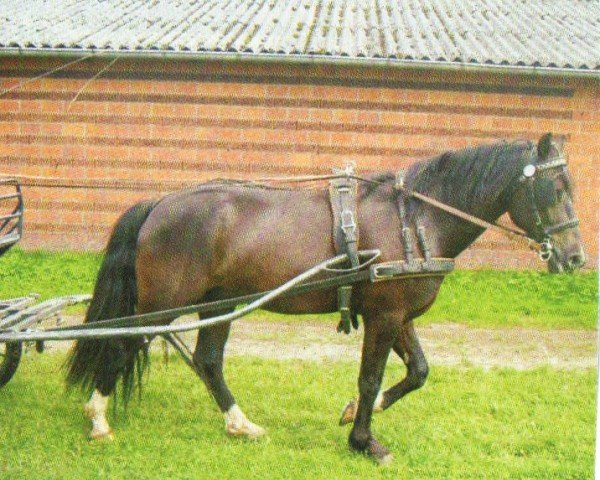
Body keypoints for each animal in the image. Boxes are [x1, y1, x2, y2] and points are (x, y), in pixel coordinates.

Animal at [67, 133, 584, 464]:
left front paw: (357, 414)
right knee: (120, 344)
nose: (575, 257)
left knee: (208, 361)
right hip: (165, 304)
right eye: (554, 188)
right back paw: (99, 419)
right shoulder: (384, 315)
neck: (414, 219)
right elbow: (371, 378)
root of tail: (160, 203)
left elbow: (417, 372)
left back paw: (240, 423)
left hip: (220, 301)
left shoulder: (399, 315)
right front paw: (365, 442)